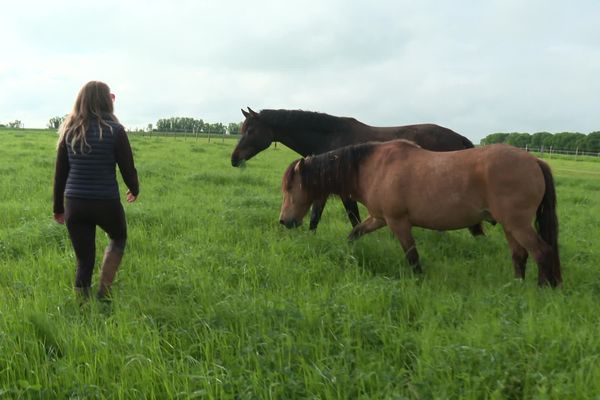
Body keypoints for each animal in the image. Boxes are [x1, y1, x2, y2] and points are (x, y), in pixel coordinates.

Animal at [231, 109, 478, 233]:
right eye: (242, 129)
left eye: (250, 131)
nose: (234, 159)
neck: (330, 138)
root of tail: (460, 138)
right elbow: (315, 218)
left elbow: (353, 218)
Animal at [278, 139, 560, 286]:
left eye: (290, 188)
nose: (284, 221)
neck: (373, 166)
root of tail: (536, 160)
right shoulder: (378, 218)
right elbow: (354, 233)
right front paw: (348, 254)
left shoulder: (398, 222)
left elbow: (412, 256)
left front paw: (418, 282)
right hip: (510, 225)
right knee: (520, 255)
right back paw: (517, 285)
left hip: (518, 224)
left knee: (542, 252)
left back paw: (542, 288)